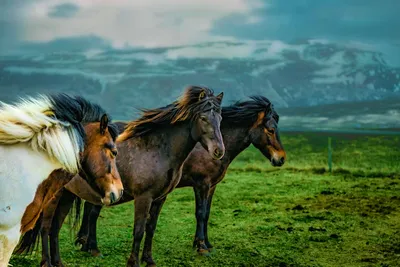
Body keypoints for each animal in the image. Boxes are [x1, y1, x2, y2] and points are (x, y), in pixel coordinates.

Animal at [18, 86, 225, 267]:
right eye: (203, 118)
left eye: (220, 118)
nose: (218, 151)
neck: (158, 150)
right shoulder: (143, 198)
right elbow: (139, 230)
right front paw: (134, 262)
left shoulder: (160, 199)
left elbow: (151, 228)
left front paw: (149, 260)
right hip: (54, 197)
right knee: (45, 228)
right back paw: (47, 262)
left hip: (68, 195)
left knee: (55, 229)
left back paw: (58, 262)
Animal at [75, 96, 286, 264]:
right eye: (270, 130)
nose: (281, 159)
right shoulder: (201, 184)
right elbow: (201, 214)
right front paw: (201, 247)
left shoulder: (211, 187)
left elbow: (207, 213)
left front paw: (206, 243)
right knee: (91, 212)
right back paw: (89, 246)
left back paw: (85, 244)